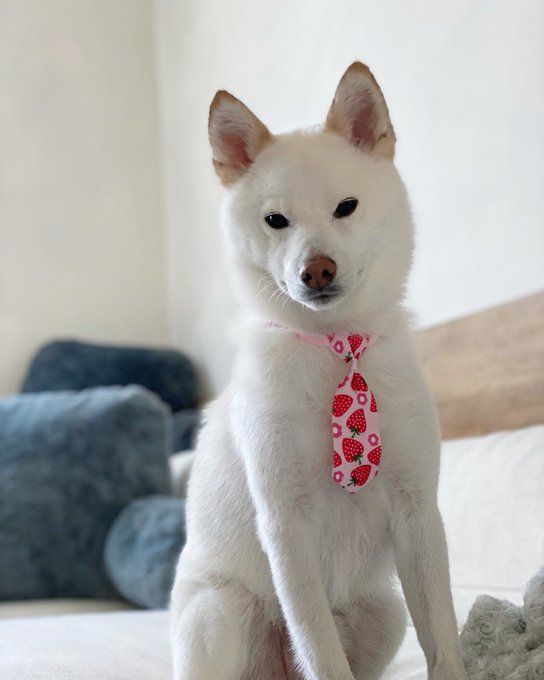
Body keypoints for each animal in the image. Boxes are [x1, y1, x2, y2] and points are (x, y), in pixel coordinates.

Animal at [171, 63, 468, 680]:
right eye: (275, 220)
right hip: (220, 611)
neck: (337, 349)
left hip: (384, 613)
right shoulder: (287, 526)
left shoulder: (418, 513)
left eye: (346, 207)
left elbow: (442, 635)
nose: (317, 270)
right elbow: (321, 651)